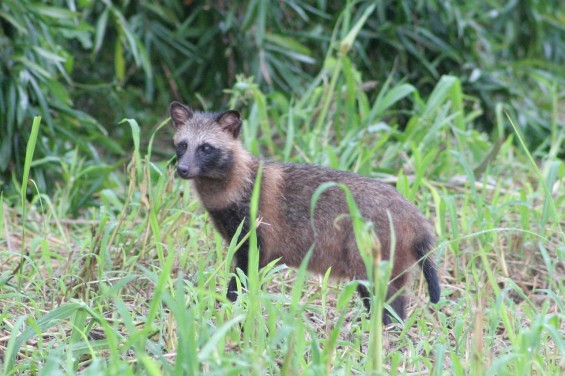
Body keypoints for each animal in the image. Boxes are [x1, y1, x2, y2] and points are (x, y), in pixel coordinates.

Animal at [170, 102, 438, 324]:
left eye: (206, 148)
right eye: (181, 145)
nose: (182, 169)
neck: (241, 186)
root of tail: (416, 216)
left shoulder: (255, 244)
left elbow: (237, 287)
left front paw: (229, 312)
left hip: (370, 267)